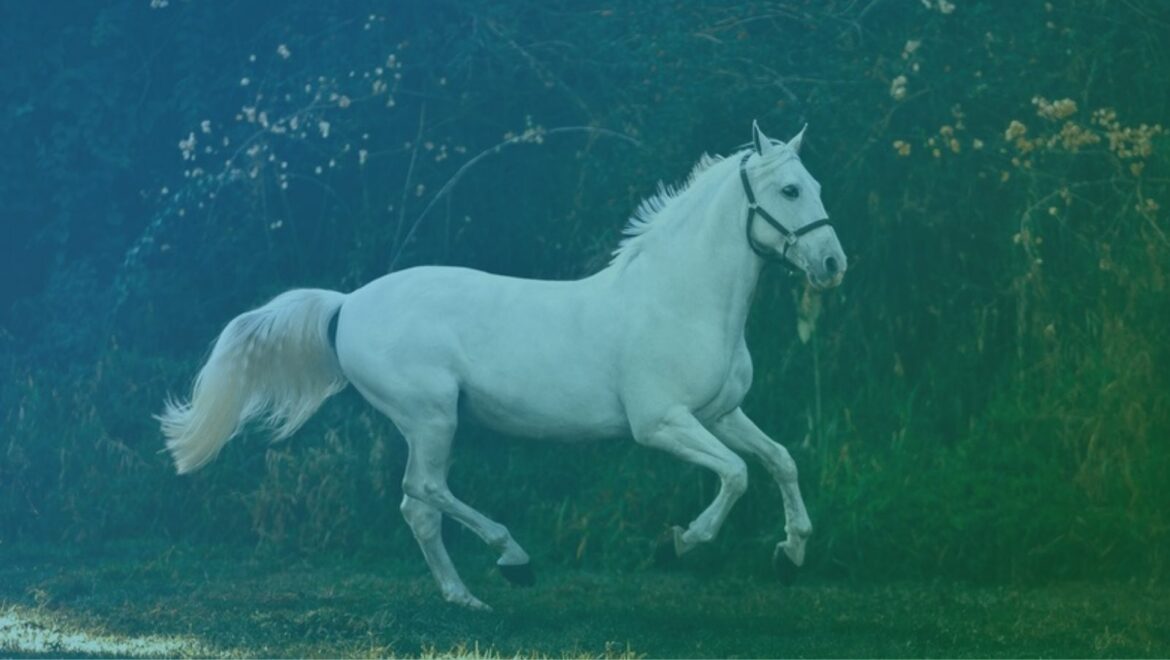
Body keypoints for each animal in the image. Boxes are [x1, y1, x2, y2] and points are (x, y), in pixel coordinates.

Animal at [159, 121, 846, 610]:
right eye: (790, 190)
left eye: (816, 186)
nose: (833, 264)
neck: (679, 299)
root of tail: (347, 303)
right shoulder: (662, 424)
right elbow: (736, 474)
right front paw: (680, 543)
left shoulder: (722, 413)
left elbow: (779, 461)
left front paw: (791, 554)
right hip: (432, 417)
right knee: (424, 492)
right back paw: (513, 560)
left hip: (431, 424)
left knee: (418, 507)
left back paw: (465, 598)